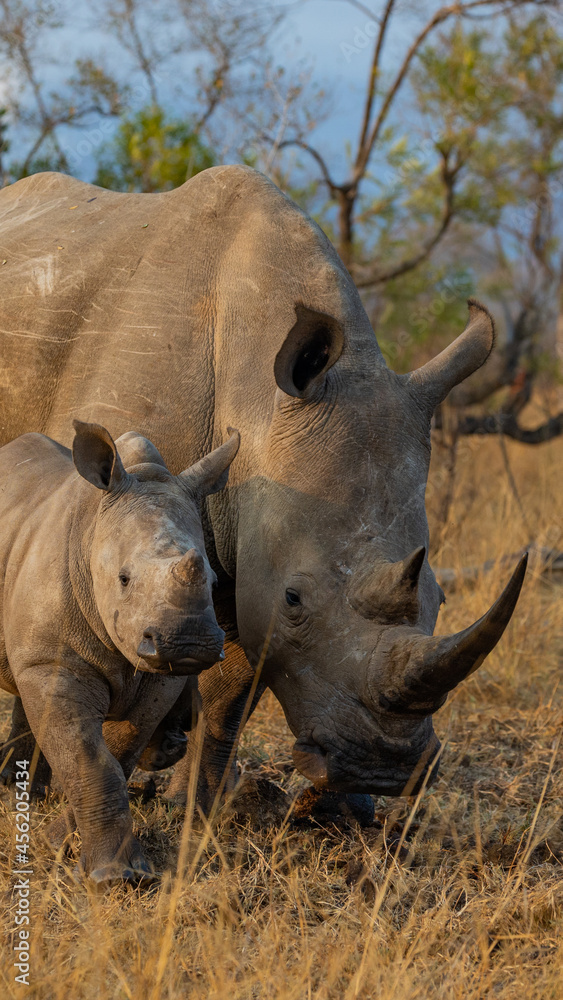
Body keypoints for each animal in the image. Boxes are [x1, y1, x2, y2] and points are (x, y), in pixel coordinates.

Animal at [0, 165, 526, 812]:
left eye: (441, 599)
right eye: (295, 600)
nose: (383, 768)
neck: (258, 411)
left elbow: (233, 686)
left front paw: (200, 806)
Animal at [0, 419, 239, 881]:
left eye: (215, 582)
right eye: (124, 579)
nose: (190, 643)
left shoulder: (161, 677)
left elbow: (118, 751)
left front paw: (60, 843)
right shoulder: (55, 662)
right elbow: (90, 758)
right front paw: (112, 878)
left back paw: (22, 794)